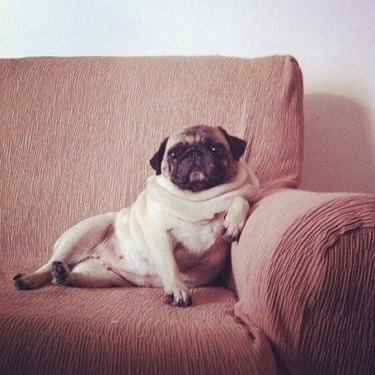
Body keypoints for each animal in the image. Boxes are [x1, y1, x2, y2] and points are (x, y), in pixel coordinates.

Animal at [13, 125, 260, 306]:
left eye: (215, 148)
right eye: (174, 153)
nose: (195, 153)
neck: (197, 198)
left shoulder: (243, 195)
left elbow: (241, 199)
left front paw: (233, 223)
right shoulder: (160, 235)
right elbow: (170, 265)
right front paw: (177, 290)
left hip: (105, 277)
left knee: (73, 277)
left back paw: (64, 275)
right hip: (86, 231)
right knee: (47, 265)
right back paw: (28, 279)